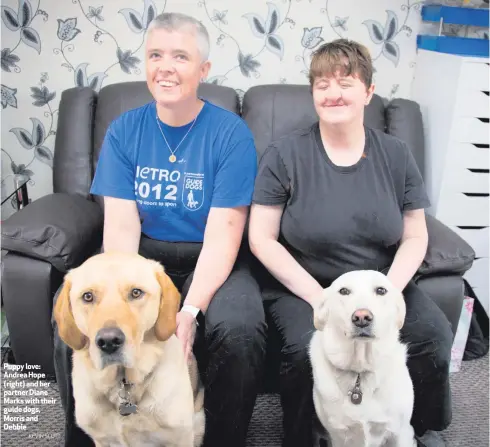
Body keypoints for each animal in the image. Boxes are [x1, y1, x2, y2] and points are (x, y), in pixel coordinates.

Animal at [53, 254, 205, 446]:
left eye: (136, 292)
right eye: (87, 296)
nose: (109, 342)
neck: (123, 385)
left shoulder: (180, 437)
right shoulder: (102, 439)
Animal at [308, 270, 416, 447]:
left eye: (381, 290)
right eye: (344, 291)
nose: (362, 317)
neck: (360, 369)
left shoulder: (400, 432)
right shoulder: (338, 436)